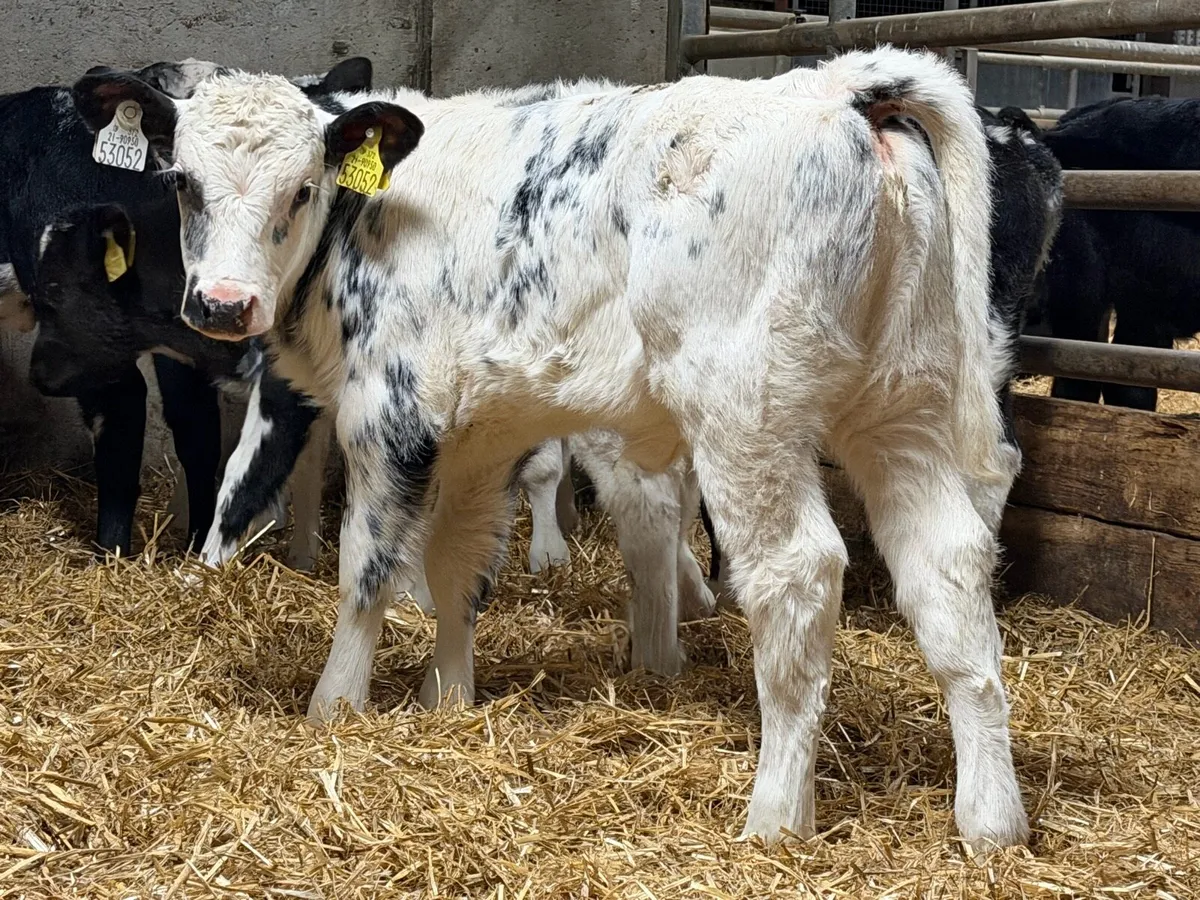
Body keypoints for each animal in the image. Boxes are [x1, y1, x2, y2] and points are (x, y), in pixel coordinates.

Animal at [75, 46, 1028, 848]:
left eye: (303, 188)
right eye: (184, 182)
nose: (223, 304)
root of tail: (840, 87)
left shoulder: (391, 410)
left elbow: (368, 568)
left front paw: (334, 707)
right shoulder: (482, 430)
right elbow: (457, 566)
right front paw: (448, 700)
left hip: (747, 415)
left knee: (798, 575)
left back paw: (776, 817)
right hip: (905, 408)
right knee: (947, 572)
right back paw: (990, 822)